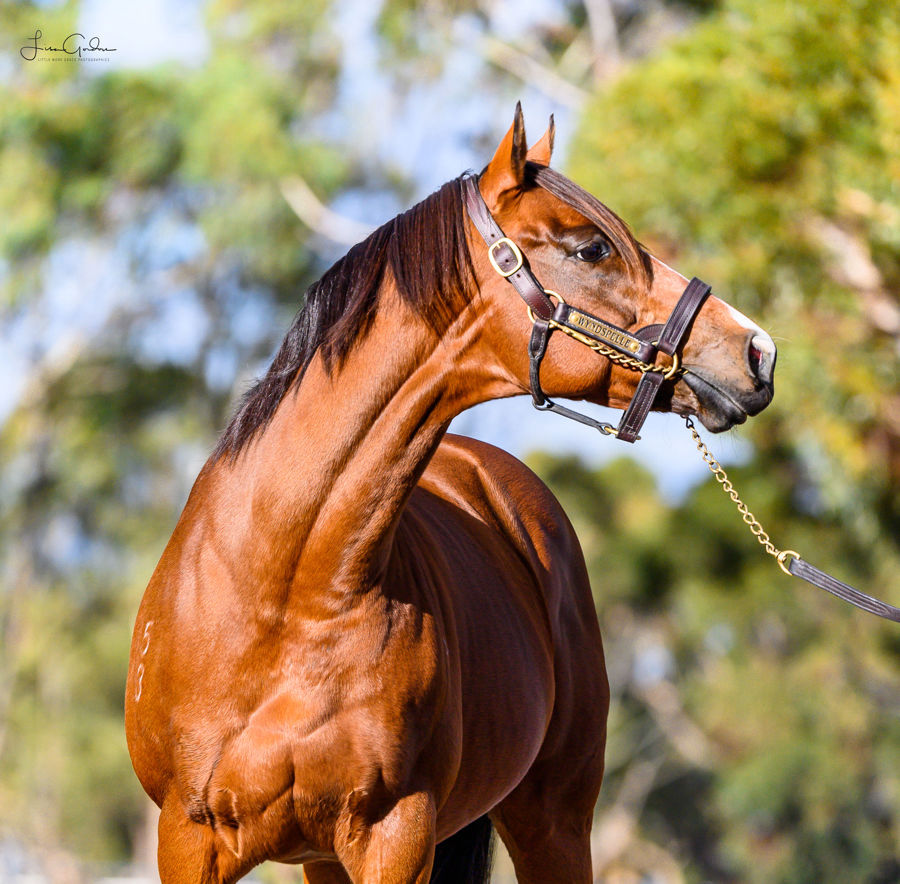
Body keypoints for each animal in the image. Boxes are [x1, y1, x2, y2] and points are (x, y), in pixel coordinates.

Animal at [125, 106, 776, 883]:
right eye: (591, 249)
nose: (758, 352)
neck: (282, 595)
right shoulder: (189, 838)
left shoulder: (396, 833)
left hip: (554, 819)